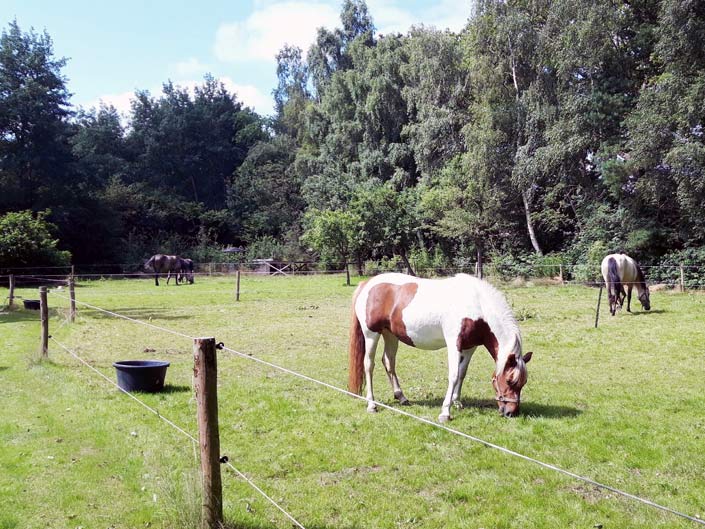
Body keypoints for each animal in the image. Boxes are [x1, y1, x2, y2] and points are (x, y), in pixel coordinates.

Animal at [348, 273, 533, 422]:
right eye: (509, 380)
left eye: (523, 383)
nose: (511, 413)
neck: (477, 306)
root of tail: (367, 284)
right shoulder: (454, 344)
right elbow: (454, 375)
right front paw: (445, 412)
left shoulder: (470, 347)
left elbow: (462, 373)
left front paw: (456, 402)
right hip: (371, 334)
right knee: (369, 365)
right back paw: (372, 405)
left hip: (390, 334)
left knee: (388, 362)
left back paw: (401, 397)